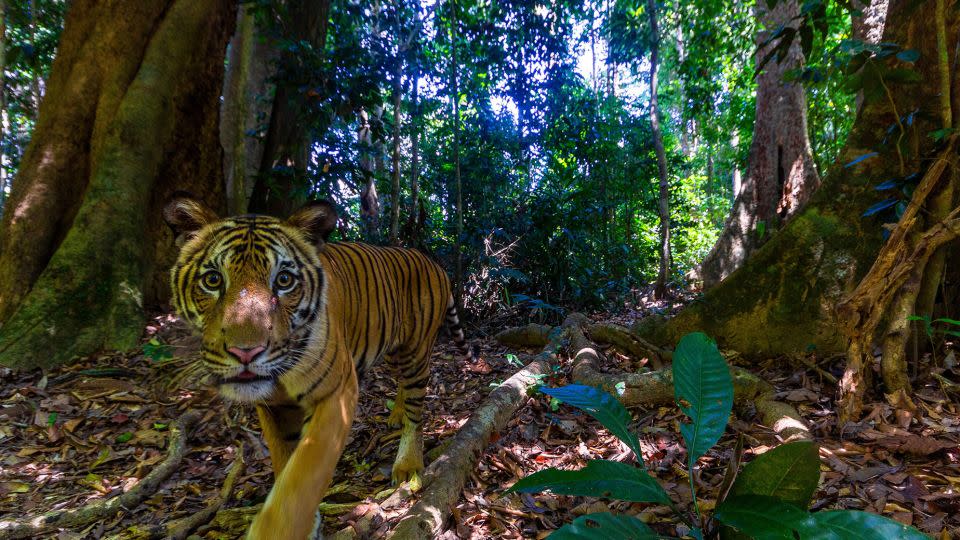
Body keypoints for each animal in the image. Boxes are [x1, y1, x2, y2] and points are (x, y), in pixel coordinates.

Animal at [162, 196, 468, 536]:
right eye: (213, 280)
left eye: (284, 281)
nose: (245, 352)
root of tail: (430, 260)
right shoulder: (272, 408)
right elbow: (284, 463)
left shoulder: (337, 393)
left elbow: (304, 472)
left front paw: (277, 530)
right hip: (392, 349)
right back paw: (396, 415)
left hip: (415, 351)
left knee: (416, 407)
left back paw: (408, 465)